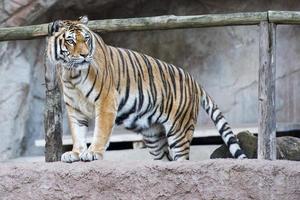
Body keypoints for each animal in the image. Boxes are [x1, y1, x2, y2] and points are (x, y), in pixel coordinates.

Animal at [46, 15, 246, 162]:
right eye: (71, 41)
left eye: (86, 39)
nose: (85, 55)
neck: (72, 73)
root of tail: (194, 81)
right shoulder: (74, 108)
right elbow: (77, 132)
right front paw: (75, 153)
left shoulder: (106, 101)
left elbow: (101, 130)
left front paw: (93, 152)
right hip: (153, 135)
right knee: (164, 159)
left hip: (179, 131)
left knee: (182, 159)